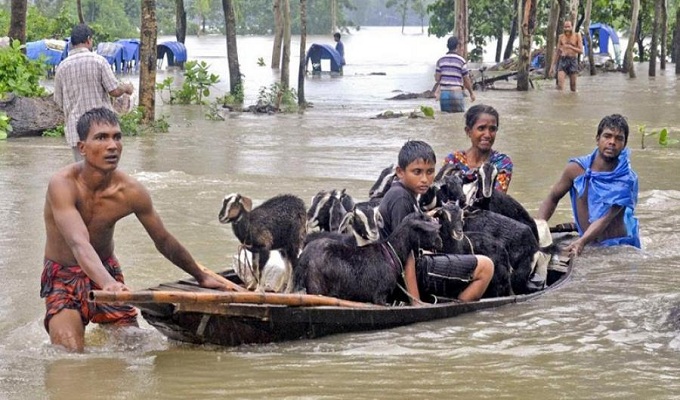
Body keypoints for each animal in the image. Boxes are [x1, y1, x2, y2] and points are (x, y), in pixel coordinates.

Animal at [296, 212, 444, 304]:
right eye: (427, 227)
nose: (440, 242)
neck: (392, 252)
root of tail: (304, 257)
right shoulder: (380, 295)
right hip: (317, 287)